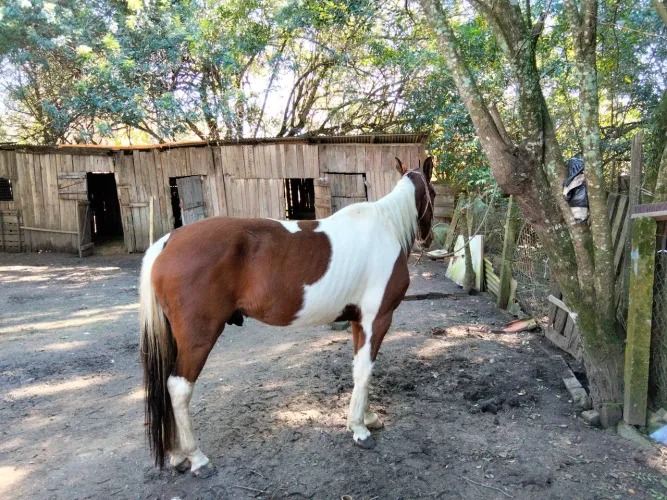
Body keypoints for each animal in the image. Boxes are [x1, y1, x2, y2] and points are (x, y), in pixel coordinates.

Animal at [139, 156, 435, 477]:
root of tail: (168, 241)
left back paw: (177, 455)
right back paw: (197, 459)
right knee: (178, 388)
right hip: (198, 338)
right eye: (433, 190)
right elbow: (365, 370)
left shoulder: (359, 321)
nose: (430, 238)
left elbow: (360, 368)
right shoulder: (377, 319)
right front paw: (360, 429)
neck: (386, 228)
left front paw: (366, 417)